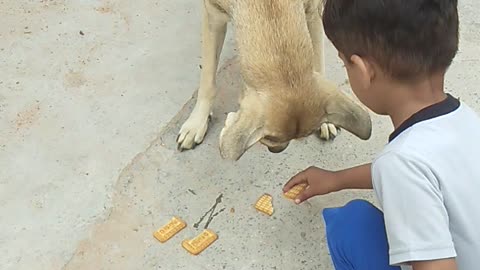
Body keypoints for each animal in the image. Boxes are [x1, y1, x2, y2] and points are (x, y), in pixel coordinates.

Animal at [176, 0, 372, 160]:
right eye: (269, 138)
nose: (276, 151)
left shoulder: (312, 12)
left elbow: (318, 62)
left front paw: (328, 121)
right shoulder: (213, 14)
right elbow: (208, 78)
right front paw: (197, 121)